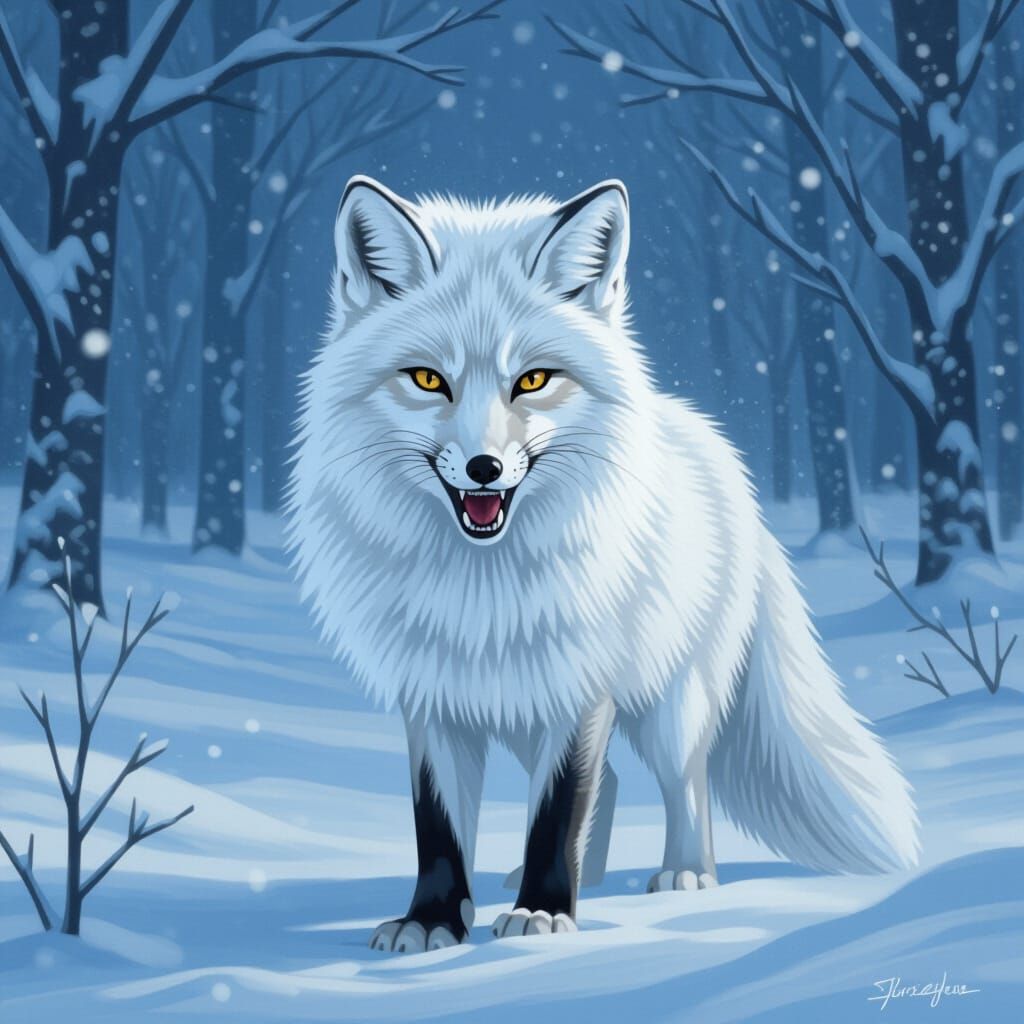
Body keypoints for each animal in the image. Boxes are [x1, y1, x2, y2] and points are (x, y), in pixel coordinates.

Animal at [286, 175, 919, 954]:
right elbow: (438, 824)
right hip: (525, 709)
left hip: (670, 700)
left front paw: (543, 914)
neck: (480, 585)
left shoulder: (582, 682)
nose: (484, 468)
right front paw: (434, 921)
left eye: (532, 380)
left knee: (685, 781)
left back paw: (685, 875)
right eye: (429, 379)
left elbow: (560, 808)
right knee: (614, 781)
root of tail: (714, 450)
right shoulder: (431, 688)